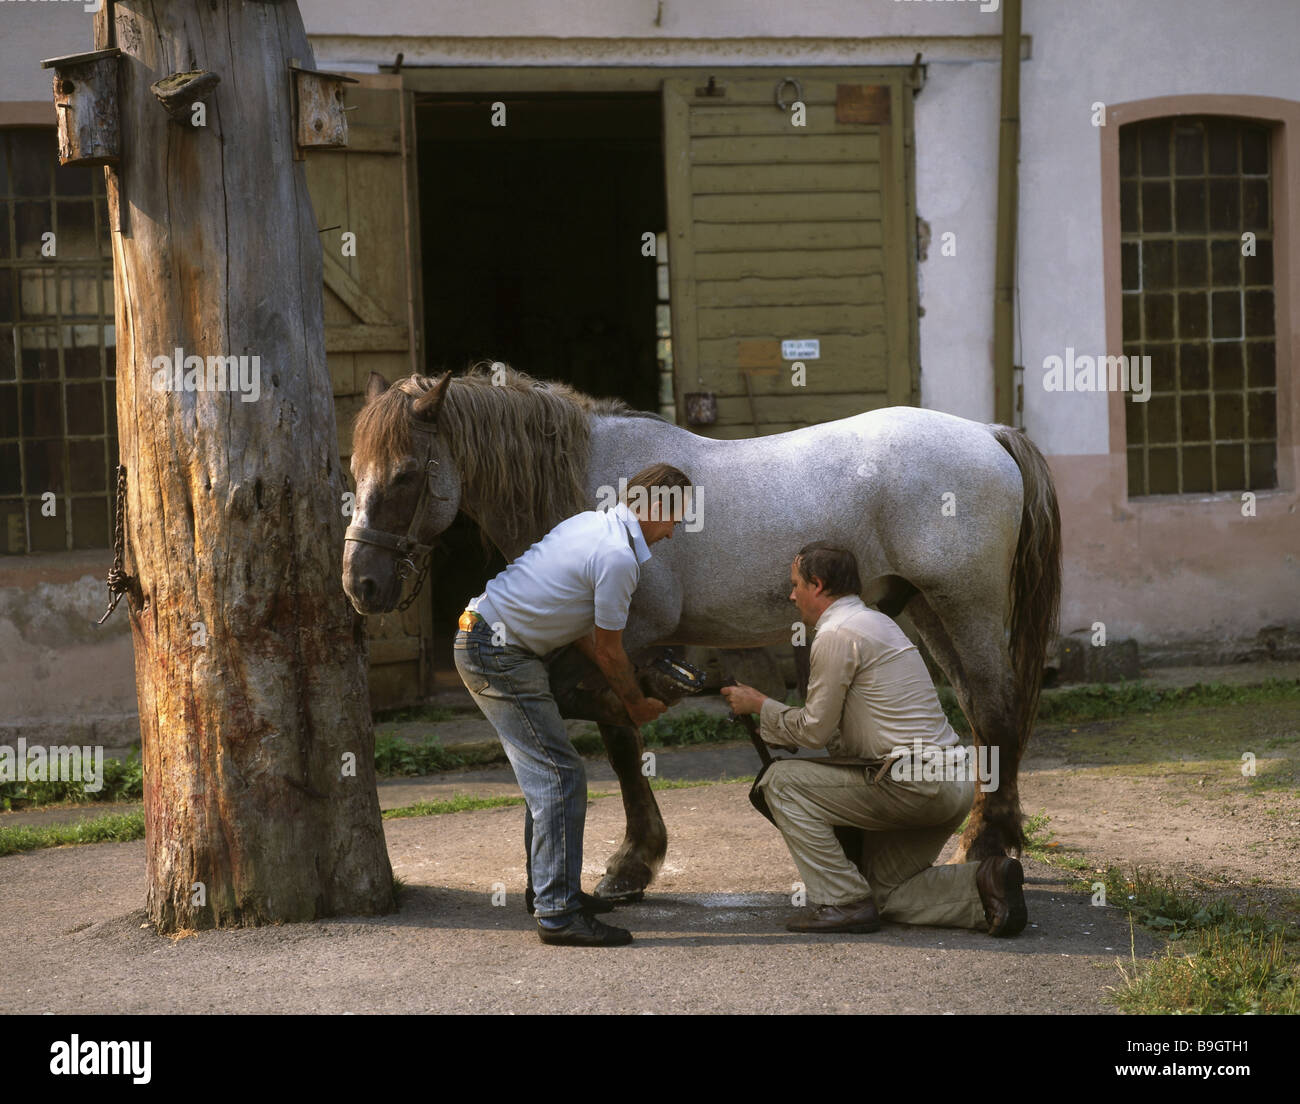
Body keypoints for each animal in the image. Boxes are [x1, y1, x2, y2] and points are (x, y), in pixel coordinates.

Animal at [343, 366, 1055, 899]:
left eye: (406, 474)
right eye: (354, 471)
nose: (362, 584)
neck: (600, 486)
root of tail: (989, 434)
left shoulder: (629, 633)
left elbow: (618, 729)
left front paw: (634, 860)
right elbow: (616, 731)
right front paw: (633, 859)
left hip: (964, 604)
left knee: (995, 709)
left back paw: (987, 845)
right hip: (928, 608)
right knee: (978, 710)